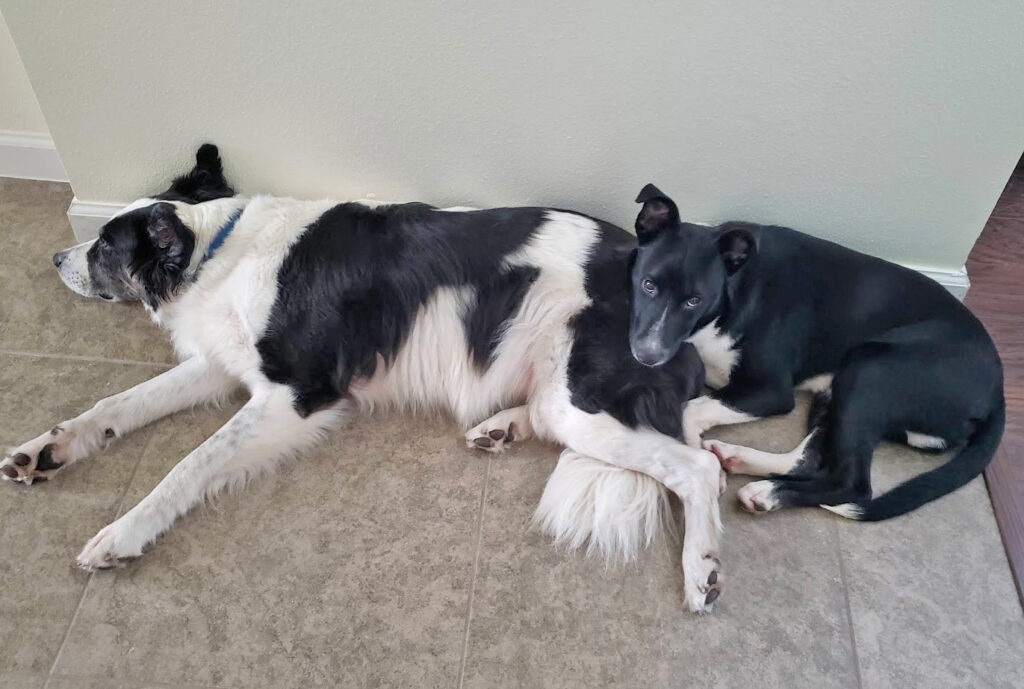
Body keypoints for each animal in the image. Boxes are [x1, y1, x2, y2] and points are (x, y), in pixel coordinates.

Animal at [2, 147, 729, 610]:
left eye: (105, 245)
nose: (56, 256)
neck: (216, 249)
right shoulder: (222, 366)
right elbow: (116, 401)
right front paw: (46, 449)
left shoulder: (296, 392)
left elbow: (188, 463)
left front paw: (122, 532)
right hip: (559, 395)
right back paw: (498, 428)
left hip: (579, 397)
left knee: (701, 467)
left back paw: (703, 571)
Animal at [626, 185, 1003, 518]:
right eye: (648, 284)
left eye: (694, 300)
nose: (647, 355)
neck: (734, 292)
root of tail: (998, 391)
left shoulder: (770, 390)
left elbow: (691, 408)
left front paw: (702, 464)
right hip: (838, 394)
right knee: (808, 460)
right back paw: (740, 461)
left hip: (870, 370)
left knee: (853, 485)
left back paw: (767, 492)